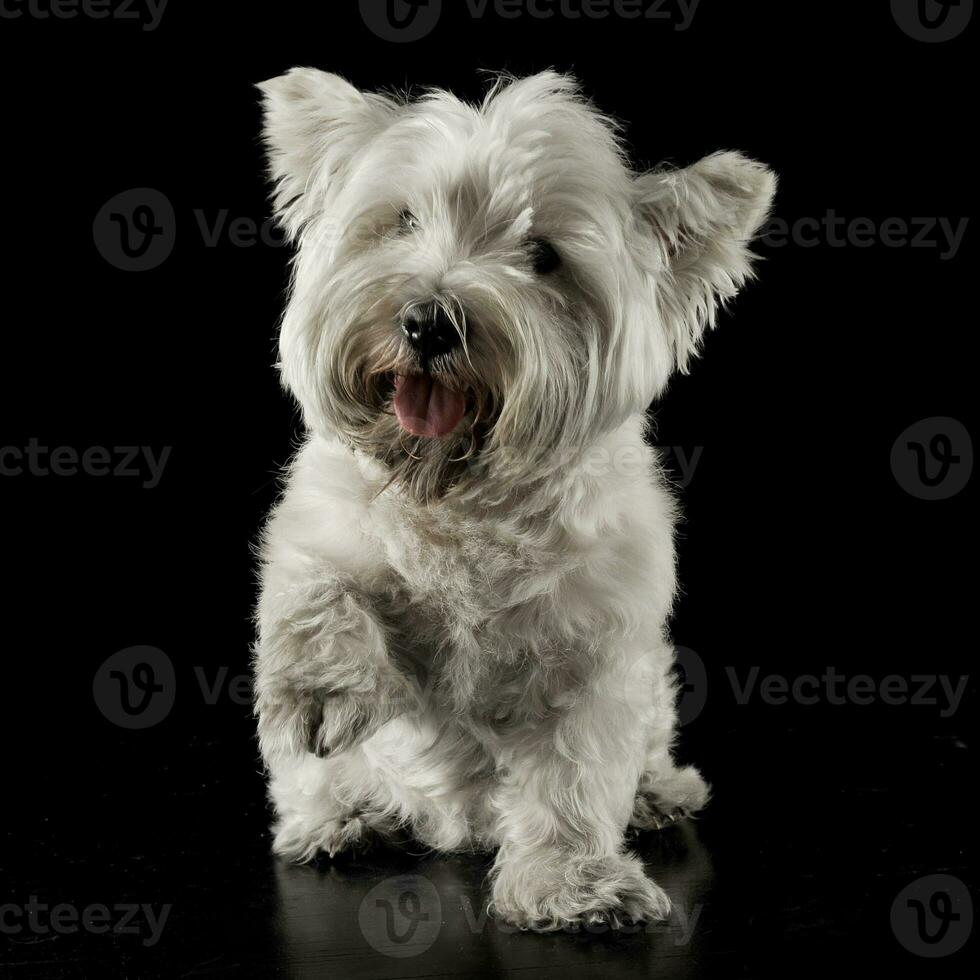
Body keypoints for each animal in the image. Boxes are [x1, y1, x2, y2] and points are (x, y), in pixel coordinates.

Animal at [253, 71, 772, 936]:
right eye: (402, 220)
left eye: (544, 257)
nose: (429, 321)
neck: (459, 492)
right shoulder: (317, 523)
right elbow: (318, 589)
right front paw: (322, 694)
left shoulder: (593, 652)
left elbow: (572, 775)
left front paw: (571, 883)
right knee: (316, 782)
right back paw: (341, 817)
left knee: (643, 751)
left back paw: (657, 793)